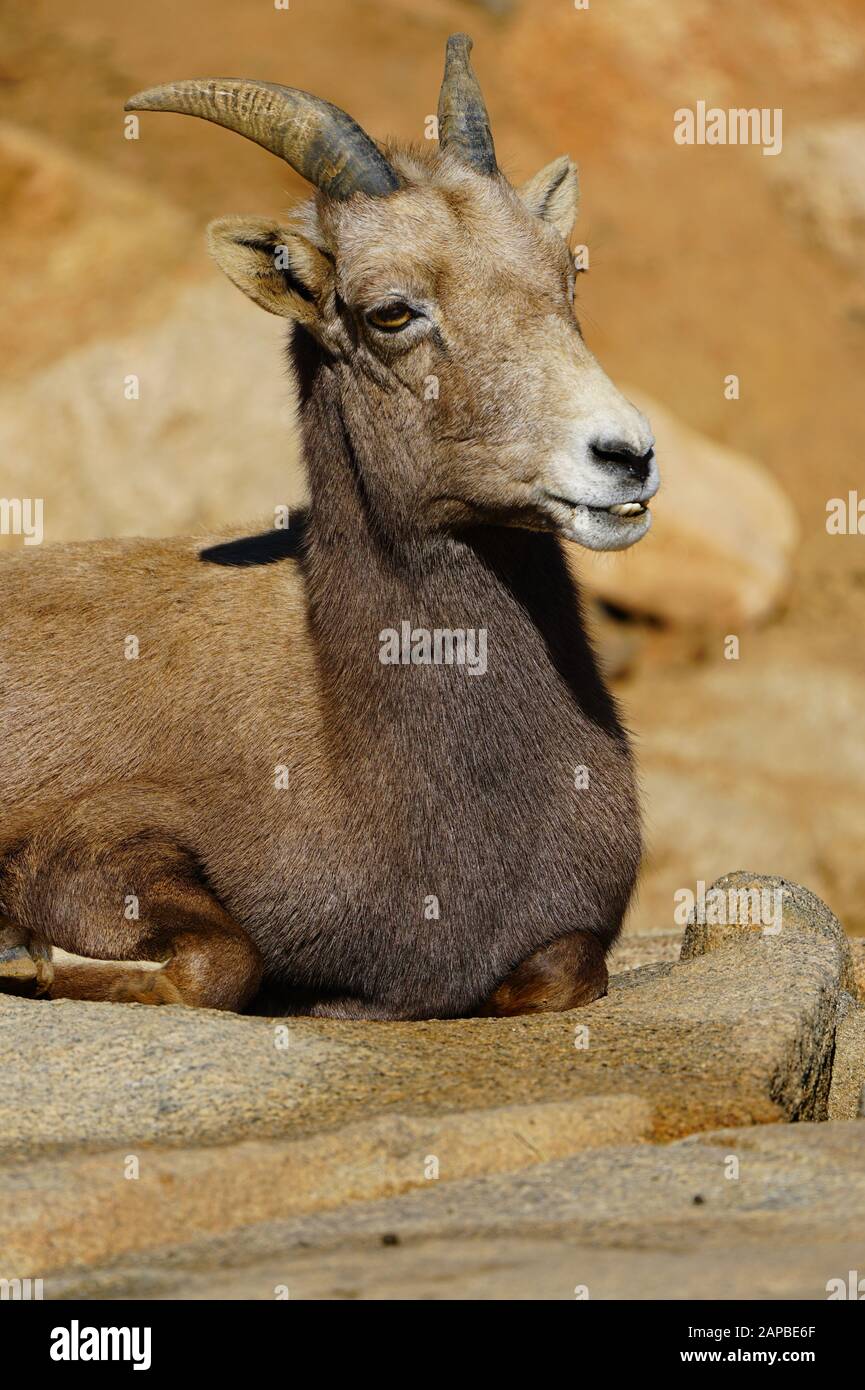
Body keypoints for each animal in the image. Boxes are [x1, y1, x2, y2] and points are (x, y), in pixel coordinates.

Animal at [0, 38, 656, 1017]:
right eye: (390, 311)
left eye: (565, 274)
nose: (624, 458)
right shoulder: (87, 840)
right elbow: (221, 964)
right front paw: (25, 957)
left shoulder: (561, 949)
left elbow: (557, 976)